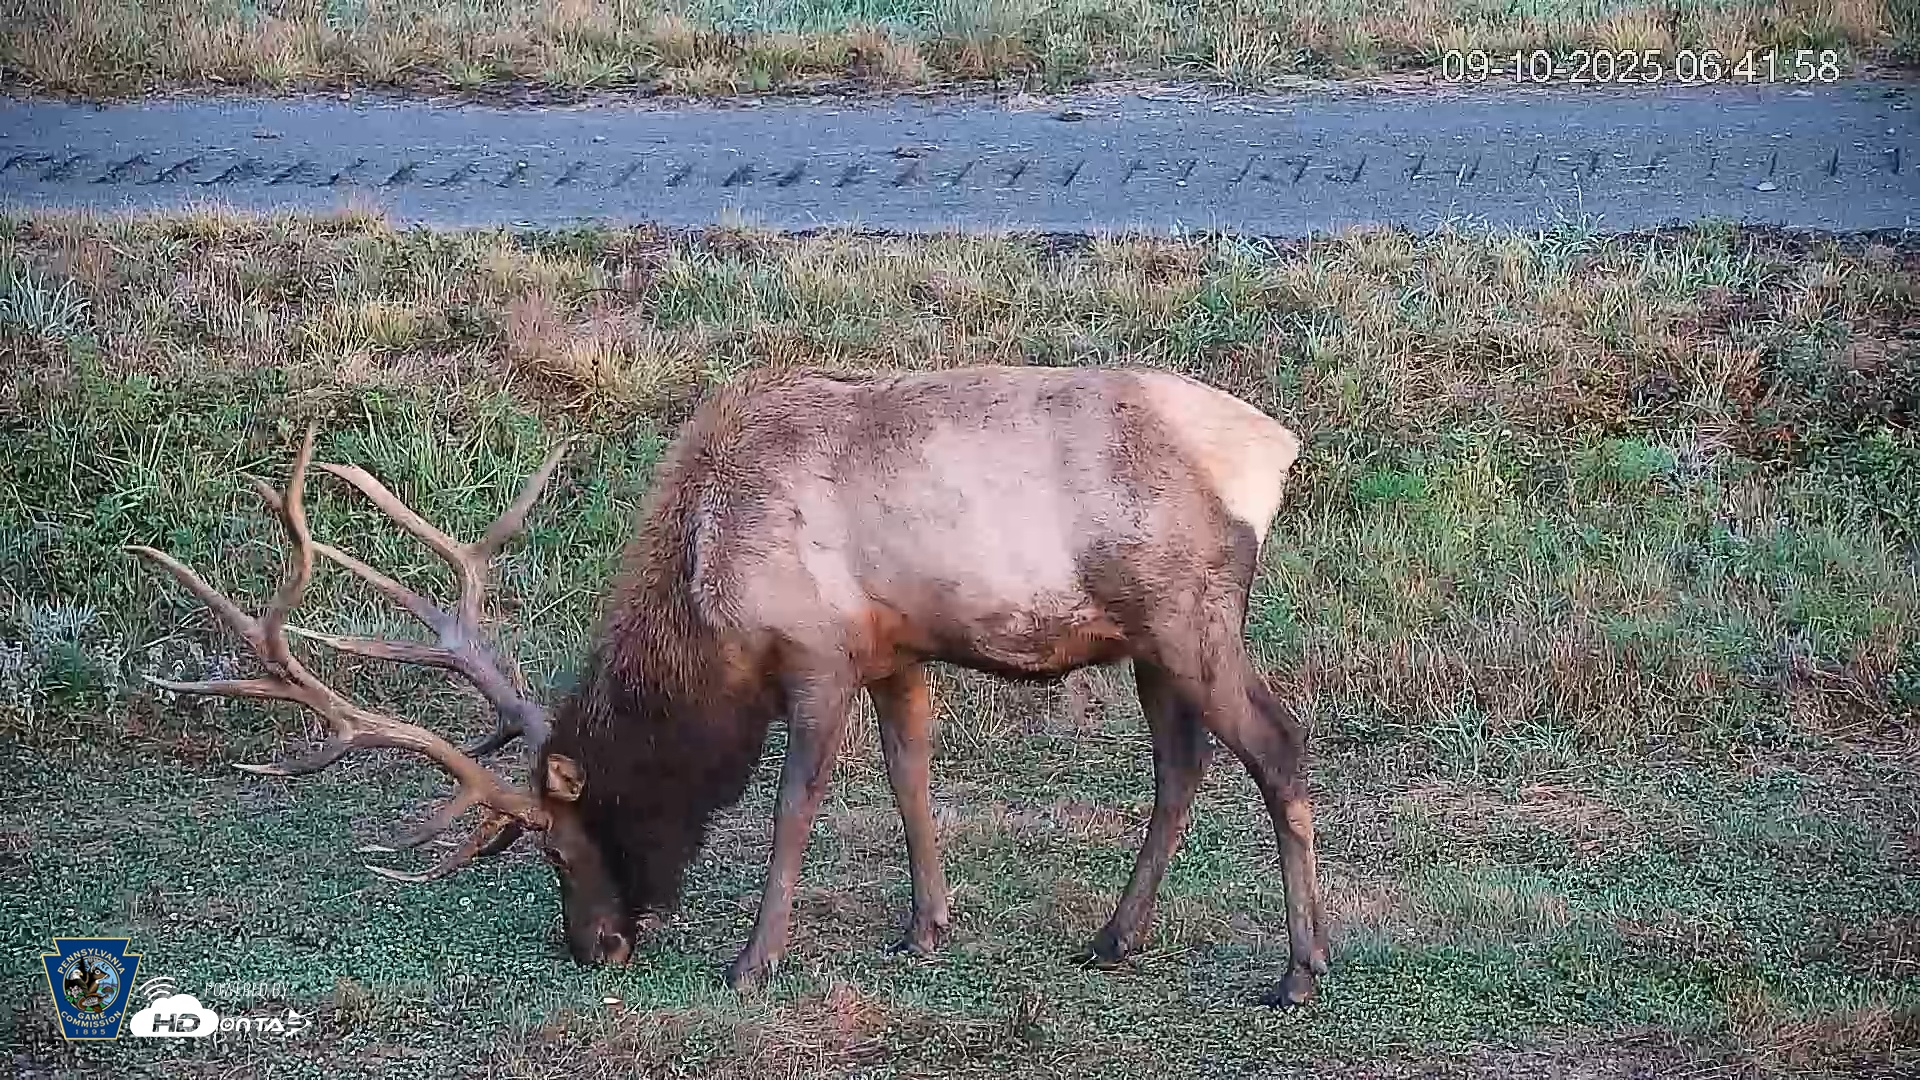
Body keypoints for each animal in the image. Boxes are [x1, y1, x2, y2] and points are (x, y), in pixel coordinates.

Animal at [130, 364, 1330, 1007]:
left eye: (562, 845)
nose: (596, 947)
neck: (710, 596)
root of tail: (1276, 452)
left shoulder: (818, 653)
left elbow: (794, 806)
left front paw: (752, 961)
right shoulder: (895, 651)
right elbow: (910, 783)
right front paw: (923, 929)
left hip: (1189, 614)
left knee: (1278, 746)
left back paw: (1300, 969)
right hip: (1150, 643)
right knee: (1183, 764)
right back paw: (1114, 937)